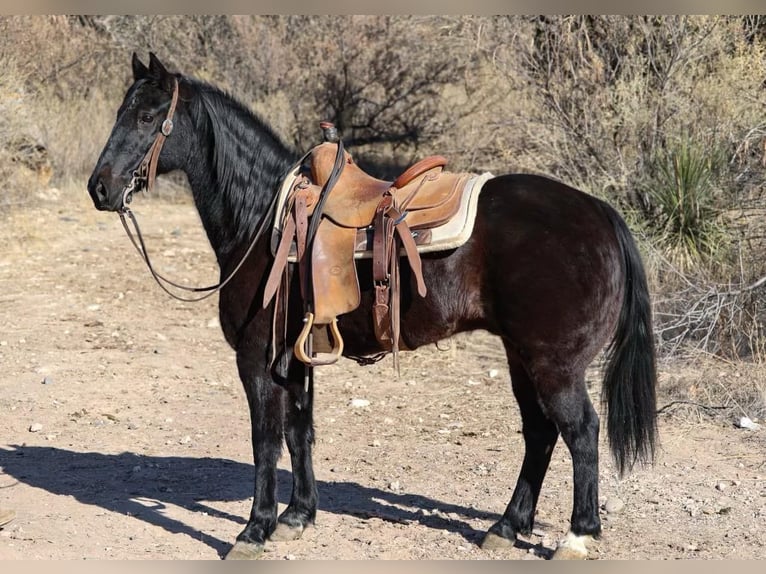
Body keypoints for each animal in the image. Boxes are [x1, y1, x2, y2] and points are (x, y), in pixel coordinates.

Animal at [87, 52, 657, 560]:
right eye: (121, 111)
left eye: (146, 116)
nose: (100, 188)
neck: (262, 218)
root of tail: (600, 212)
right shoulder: (294, 357)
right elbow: (299, 430)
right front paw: (297, 516)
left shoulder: (256, 358)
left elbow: (264, 439)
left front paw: (254, 530)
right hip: (521, 358)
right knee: (540, 434)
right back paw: (506, 526)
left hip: (553, 365)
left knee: (580, 432)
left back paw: (578, 536)